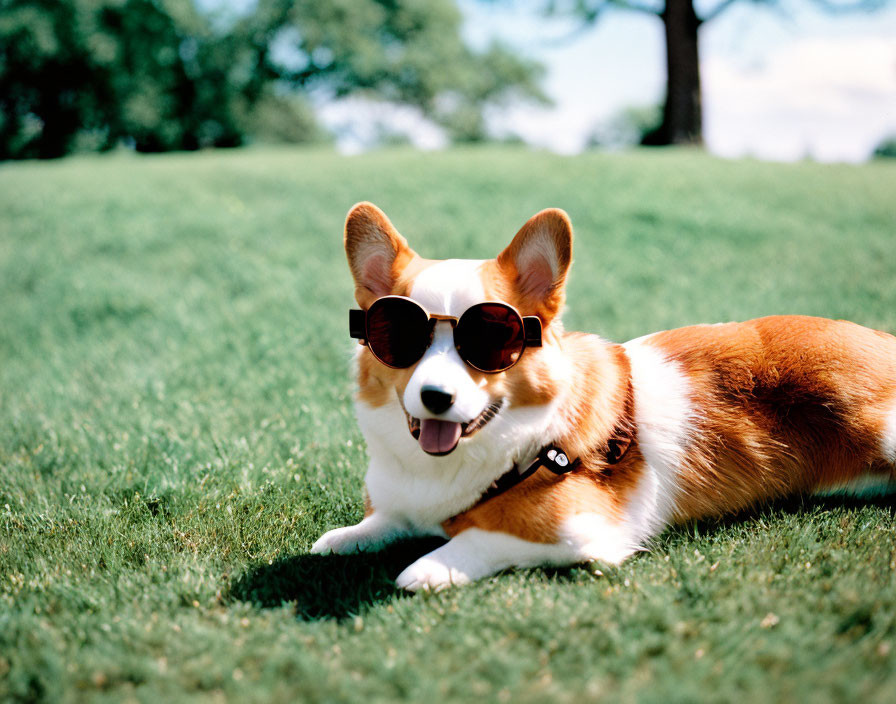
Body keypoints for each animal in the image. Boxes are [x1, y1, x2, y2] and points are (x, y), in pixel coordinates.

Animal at [310, 202, 896, 588]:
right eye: (397, 336)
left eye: (493, 339)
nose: (434, 397)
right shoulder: (401, 506)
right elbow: (377, 524)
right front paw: (343, 538)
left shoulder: (587, 534)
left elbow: (481, 535)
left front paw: (429, 567)